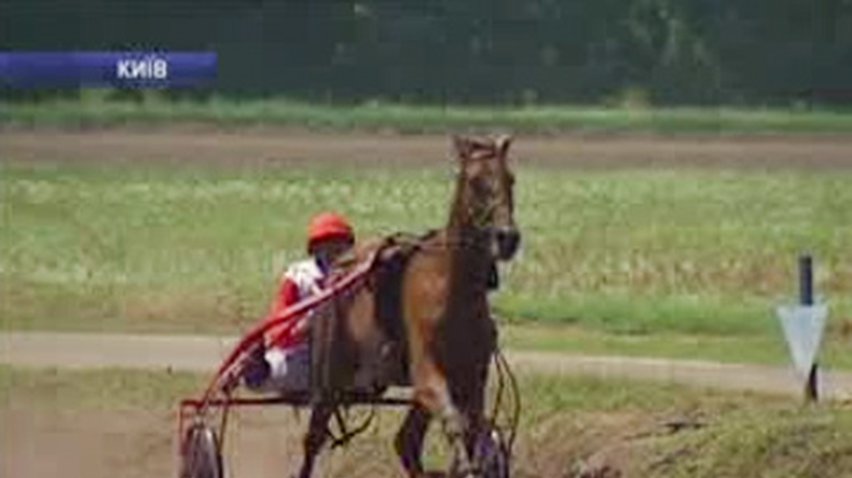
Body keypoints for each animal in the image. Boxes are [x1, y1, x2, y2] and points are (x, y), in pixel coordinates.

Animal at [292, 135, 520, 478]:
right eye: (475, 181)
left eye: (510, 179)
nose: (508, 238)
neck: (451, 288)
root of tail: (337, 271)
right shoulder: (428, 374)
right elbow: (455, 424)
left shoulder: (471, 378)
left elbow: (475, 430)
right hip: (331, 377)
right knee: (314, 438)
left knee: (406, 442)